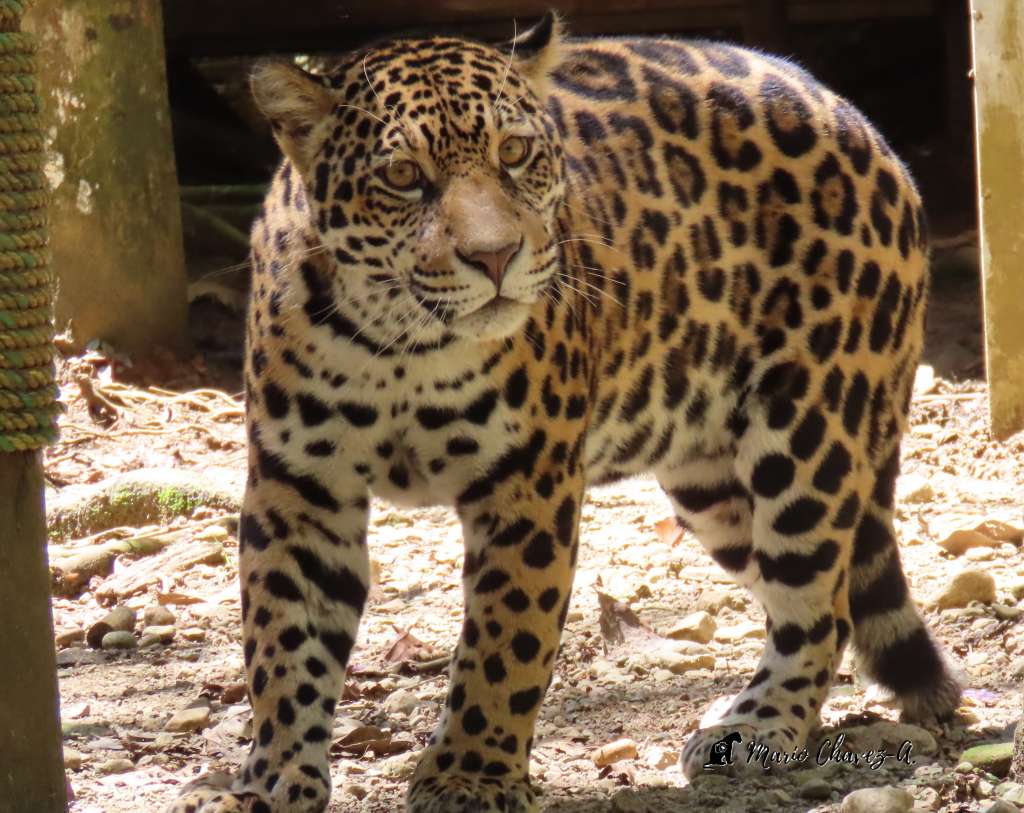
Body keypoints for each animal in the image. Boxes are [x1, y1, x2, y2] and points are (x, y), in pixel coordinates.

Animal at [169, 12, 961, 813]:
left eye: (514, 153)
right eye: (402, 177)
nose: (495, 257)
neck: (404, 345)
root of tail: (859, 121)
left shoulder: (528, 481)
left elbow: (505, 640)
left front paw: (471, 774)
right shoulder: (299, 487)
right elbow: (284, 643)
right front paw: (269, 780)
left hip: (807, 438)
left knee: (819, 602)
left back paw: (760, 724)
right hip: (713, 484)